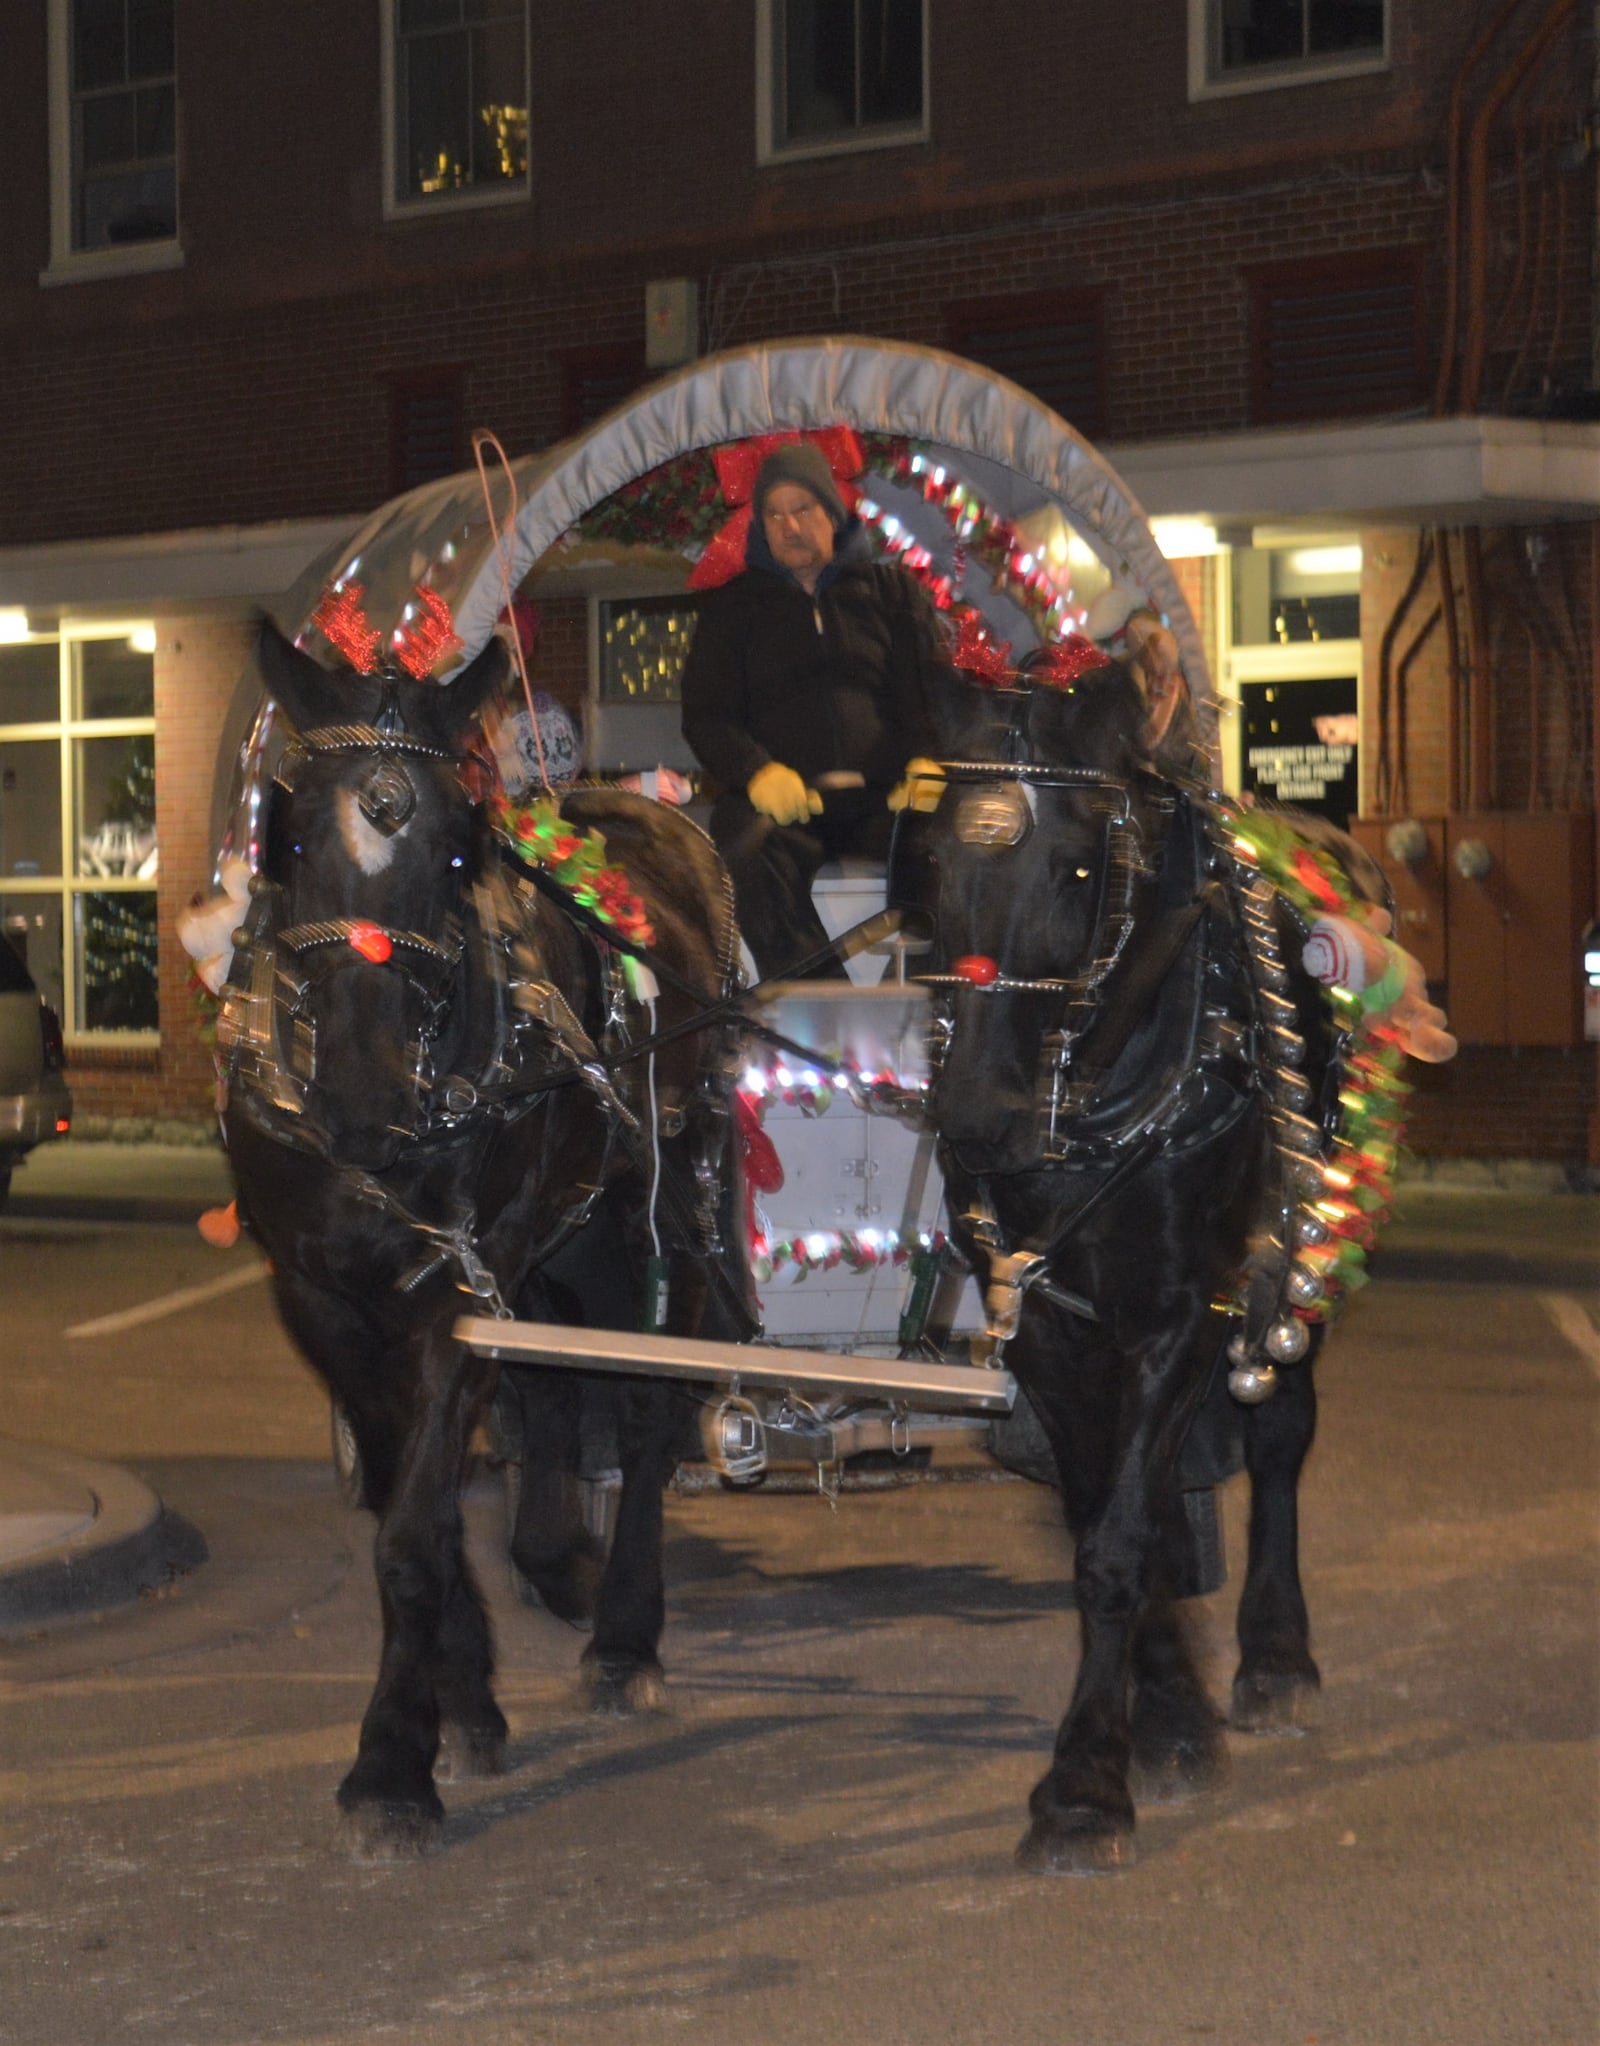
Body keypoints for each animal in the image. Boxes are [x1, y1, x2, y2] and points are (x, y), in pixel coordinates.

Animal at [220, 621, 744, 1857]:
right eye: (286, 834)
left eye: (461, 851)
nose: (365, 1096)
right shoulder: (323, 1297)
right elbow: (410, 1502)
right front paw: (462, 1698)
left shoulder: (451, 1288)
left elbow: (412, 1536)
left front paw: (389, 1769)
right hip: (548, 1242)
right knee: (549, 1389)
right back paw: (556, 1565)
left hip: (654, 1212)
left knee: (644, 1413)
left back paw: (623, 1633)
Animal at [920, 654, 1334, 1874]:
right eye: (932, 859)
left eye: (1077, 864)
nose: (976, 1117)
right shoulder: (1047, 1321)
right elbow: (1105, 1514)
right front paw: (1164, 1720)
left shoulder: (1180, 1315)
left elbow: (1122, 1539)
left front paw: (1083, 1788)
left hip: (1293, 1251)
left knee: (1281, 1434)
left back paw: (1276, 1657)